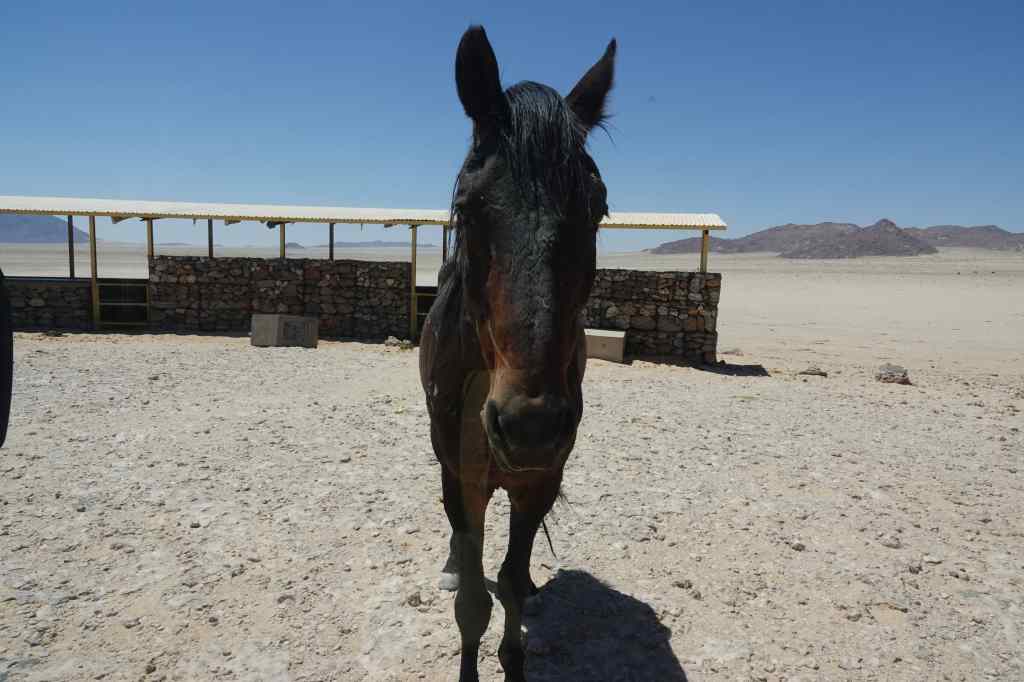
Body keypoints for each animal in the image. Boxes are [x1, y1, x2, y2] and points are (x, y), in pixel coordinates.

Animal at [419, 25, 615, 682]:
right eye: (468, 207)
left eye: (598, 209)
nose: (530, 425)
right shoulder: (462, 474)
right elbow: (473, 602)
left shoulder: (543, 476)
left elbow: (505, 583)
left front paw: (515, 656)